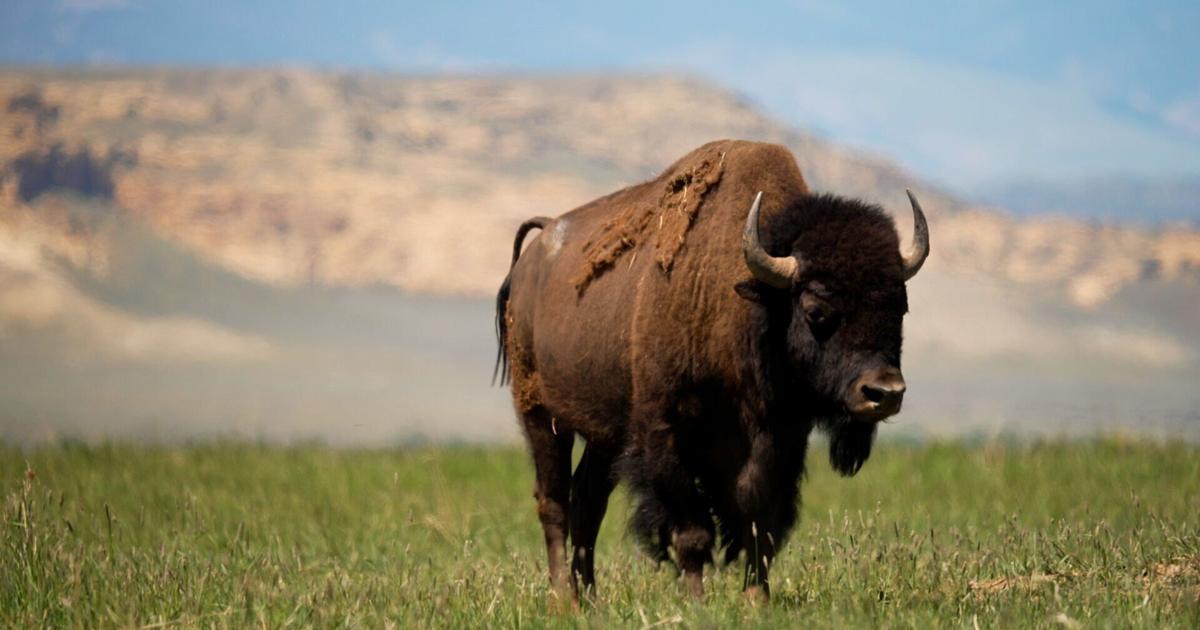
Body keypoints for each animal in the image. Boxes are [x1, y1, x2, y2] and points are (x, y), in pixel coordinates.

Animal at [494, 140, 929, 606]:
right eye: (816, 309)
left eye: (900, 307)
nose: (884, 392)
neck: (749, 304)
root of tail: (534, 255)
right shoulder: (665, 433)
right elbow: (692, 530)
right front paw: (697, 603)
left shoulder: (777, 439)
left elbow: (759, 523)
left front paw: (757, 601)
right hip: (541, 415)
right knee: (553, 501)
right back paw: (566, 601)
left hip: (604, 435)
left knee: (587, 502)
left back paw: (590, 599)